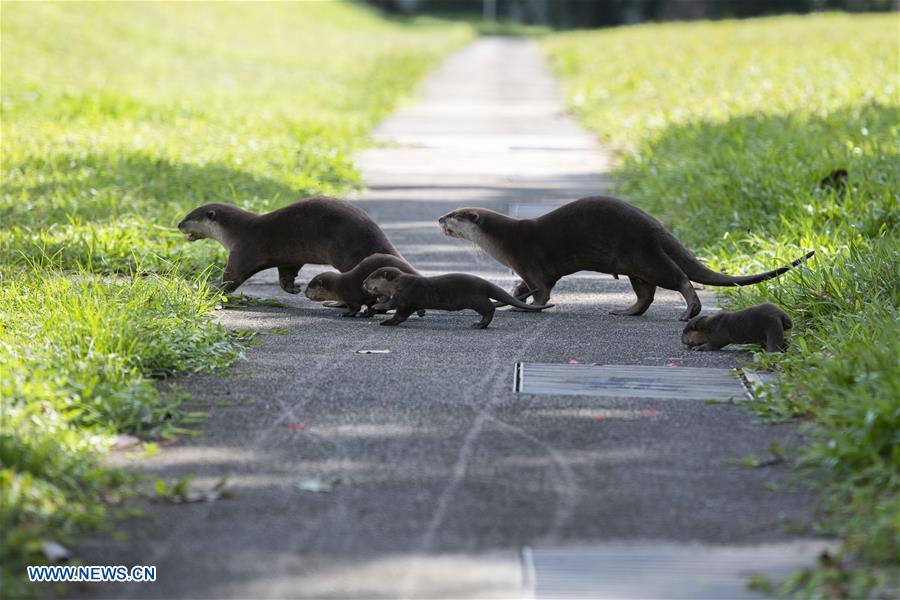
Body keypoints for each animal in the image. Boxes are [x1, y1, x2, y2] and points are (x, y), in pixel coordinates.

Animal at [177, 196, 401, 294]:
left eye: (189, 217)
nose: (178, 224)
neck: (236, 232)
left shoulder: (242, 251)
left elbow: (231, 278)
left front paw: (209, 288)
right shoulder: (288, 258)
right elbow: (286, 274)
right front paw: (292, 288)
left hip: (349, 251)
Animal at [362, 268, 553, 329]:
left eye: (371, 277)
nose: (363, 282)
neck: (399, 283)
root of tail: (484, 283)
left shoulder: (404, 295)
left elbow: (394, 306)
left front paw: (379, 309)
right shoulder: (408, 304)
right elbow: (401, 315)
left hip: (475, 298)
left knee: (489, 308)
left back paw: (478, 325)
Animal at [439, 196, 814, 320]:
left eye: (455, 215)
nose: (440, 218)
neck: (504, 240)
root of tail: (656, 226)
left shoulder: (530, 259)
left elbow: (542, 292)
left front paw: (523, 306)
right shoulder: (537, 270)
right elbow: (530, 287)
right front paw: (515, 295)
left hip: (644, 255)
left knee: (679, 278)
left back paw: (689, 311)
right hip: (636, 265)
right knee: (646, 295)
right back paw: (624, 311)